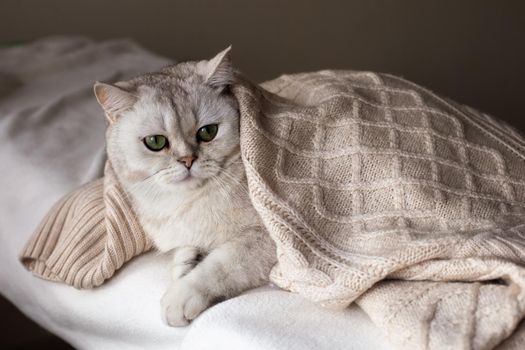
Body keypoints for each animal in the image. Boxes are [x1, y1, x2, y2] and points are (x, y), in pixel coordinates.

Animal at [92, 47, 276, 326]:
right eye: (155, 142)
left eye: (208, 132)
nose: (188, 160)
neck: (187, 204)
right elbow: (185, 252)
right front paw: (185, 265)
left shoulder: (270, 238)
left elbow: (221, 263)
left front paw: (183, 295)